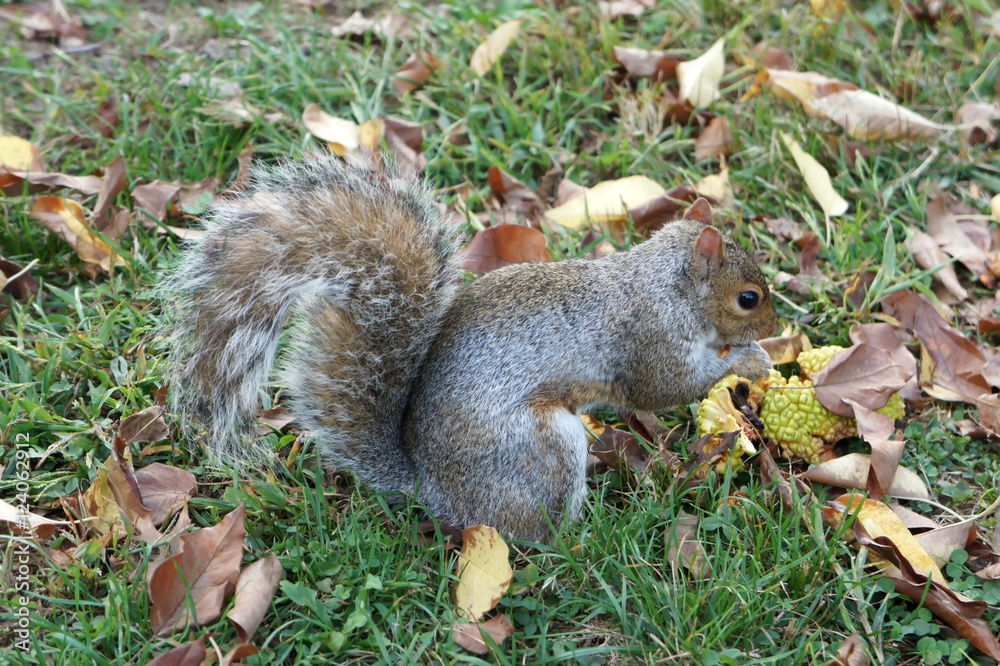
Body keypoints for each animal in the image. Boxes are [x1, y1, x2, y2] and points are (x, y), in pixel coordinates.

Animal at [161, 155, 779, 543]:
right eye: (748, 298)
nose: (776, 323)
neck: (663, 285)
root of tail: (435, 492)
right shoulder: (650, 339)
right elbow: (662, 388)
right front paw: (751, 358)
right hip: (541, 448)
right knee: (531, 533)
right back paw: (585, 536)